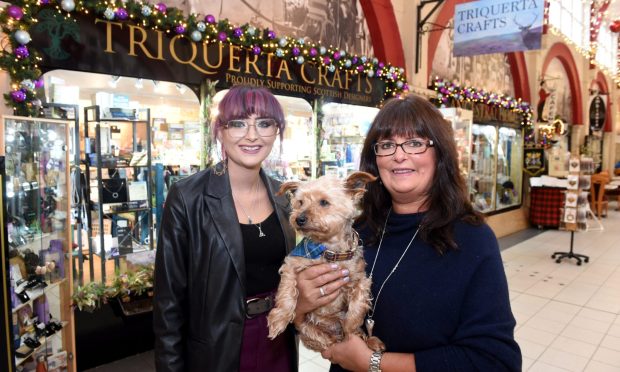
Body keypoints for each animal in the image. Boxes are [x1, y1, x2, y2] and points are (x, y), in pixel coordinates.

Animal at [266, 171, 382, 352]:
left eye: (323, 202)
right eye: (300, 202)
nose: (299, 219)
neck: (329, 250)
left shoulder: (360, 279)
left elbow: (357, 305)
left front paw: (351, 328)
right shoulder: (291, 265)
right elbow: (287, 292)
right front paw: (279, 320)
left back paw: (366, 338)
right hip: (308, 329)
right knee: (322, 339)